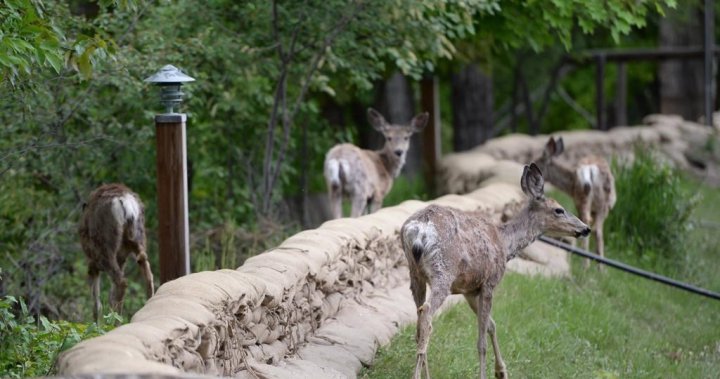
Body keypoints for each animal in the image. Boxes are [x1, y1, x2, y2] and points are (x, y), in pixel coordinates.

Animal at [79, 184, 155, 324]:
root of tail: (126, 203)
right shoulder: (121, 258)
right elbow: (110, 295)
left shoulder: (92, 263)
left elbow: (97, 302)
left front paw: (96, 325)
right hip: (137, 240)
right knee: (147, 274)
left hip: (104, 249)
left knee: (122, 283)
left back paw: (116, 323)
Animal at [400, 164, 592, 379]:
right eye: (559, 210)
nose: (585, 228)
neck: (505, 244)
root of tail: (418, 230)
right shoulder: (489, 282)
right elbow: (481, 341)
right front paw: (488, 373)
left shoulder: (469, 289)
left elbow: (491, 325)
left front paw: (501, 371)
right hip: (443, 272)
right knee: (426, 314)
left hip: (415, 274)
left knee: (419, 321)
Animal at [536, 137, 620, 270]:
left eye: (537, 162)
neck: (569, 185)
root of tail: (590, 170)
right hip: (599, 203)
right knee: (596, 229)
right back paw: (596, 267)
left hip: (584, 199)